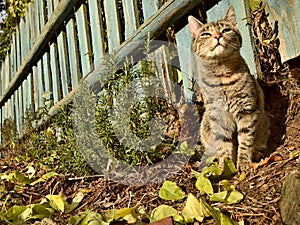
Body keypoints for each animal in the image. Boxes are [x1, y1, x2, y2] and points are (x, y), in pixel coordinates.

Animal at [188, 5, 270, 171]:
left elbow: (245, 139)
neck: (221, 75)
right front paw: (225, 165)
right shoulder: (218, 115)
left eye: (226, 30)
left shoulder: (246, 110)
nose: (217, 36)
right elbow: (223, 144)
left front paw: (243, 162)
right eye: (206, 34)